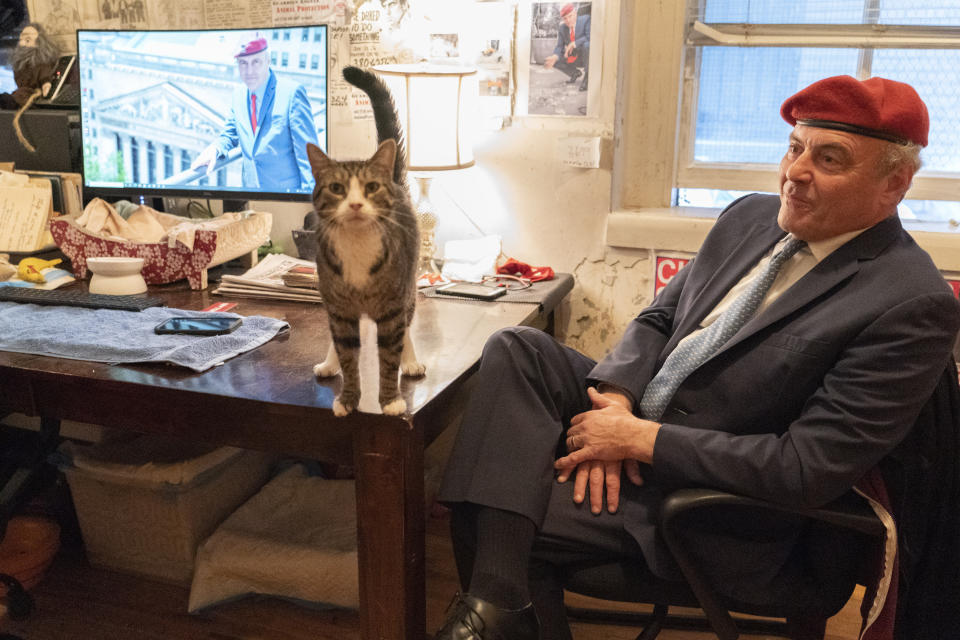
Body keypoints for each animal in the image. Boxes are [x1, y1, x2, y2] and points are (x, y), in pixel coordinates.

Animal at [308, 65, 424, 416]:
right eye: (337, 189)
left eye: (370, 188)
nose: (356, 205)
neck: (357, 247)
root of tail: (394, 177)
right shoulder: (340, 310)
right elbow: (348, 356)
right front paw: (347, 399)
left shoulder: (392, 309)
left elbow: (388, 358)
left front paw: (391, 401)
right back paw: (329, 363)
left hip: (409, 286)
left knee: (408, 326)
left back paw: (410, 361)